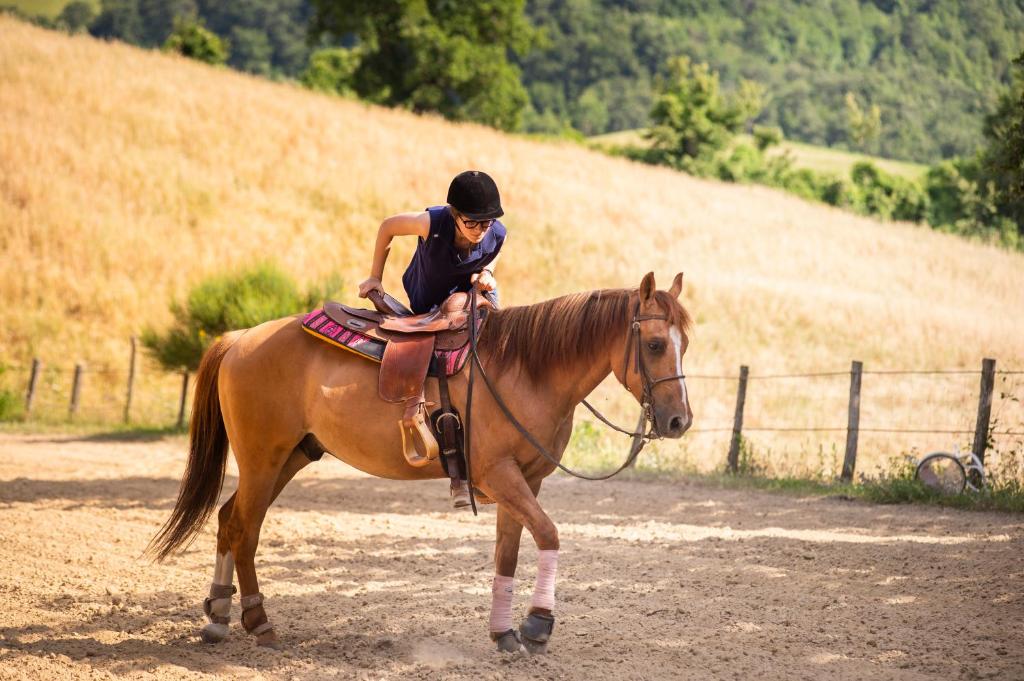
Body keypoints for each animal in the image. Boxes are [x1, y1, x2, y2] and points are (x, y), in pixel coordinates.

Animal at [149, 271, 693, 654]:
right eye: (654, 344)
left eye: (683, 343)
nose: (678, 421)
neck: (526, 369)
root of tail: (240, 338)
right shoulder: (499, 476)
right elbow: (550, 534)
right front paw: (538, 625)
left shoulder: (524, 482)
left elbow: (510, 551)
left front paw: (504, 634)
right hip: (263, 459)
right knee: (244, 527)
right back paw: (256, 622)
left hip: (290, 457)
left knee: (231, 521)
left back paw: (221, 616)